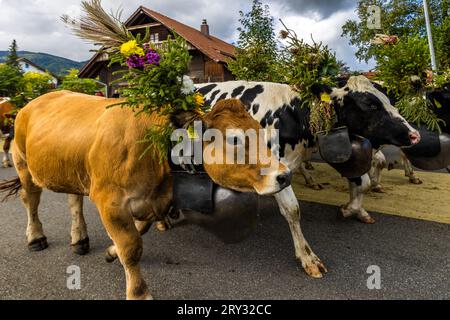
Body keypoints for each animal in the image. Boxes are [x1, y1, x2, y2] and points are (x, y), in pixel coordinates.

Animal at [0, 90, 292, 300]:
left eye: (260, 130)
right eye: (233, 139)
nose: (285, 175)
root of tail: (32, 102)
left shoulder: (153, 200)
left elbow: (139, 231)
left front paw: (111, 251)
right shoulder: (110, 202)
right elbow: (131, 246)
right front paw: (139, 293)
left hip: (72, 169)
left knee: (74, 200)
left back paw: (79, 238)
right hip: (23, 163)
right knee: (31, 200)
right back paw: (36, 237)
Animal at [195, 75, 420, 278]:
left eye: (389, 100)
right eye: (370, 105)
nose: (414, 135)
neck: (291, 113)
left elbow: (362, 183)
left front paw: (351, 210)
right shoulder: (276, 171)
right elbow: (293, 210)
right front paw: (308, 258)